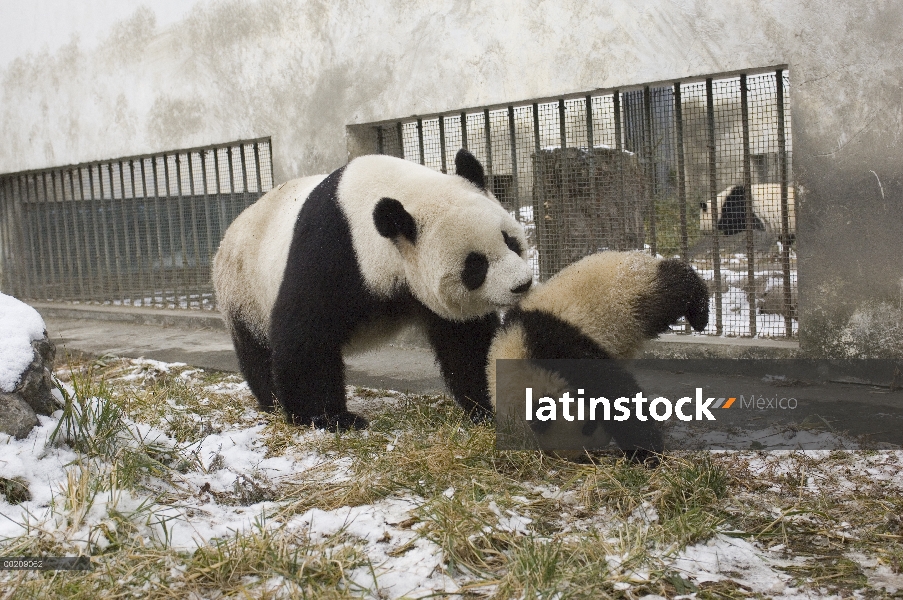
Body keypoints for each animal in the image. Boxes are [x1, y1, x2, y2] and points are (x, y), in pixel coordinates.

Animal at [215, 150, 532, 432]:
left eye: (510, 241)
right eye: (475, 265)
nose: (523, 284)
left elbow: (466, 342)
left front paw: (490, 407)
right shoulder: (331, 251)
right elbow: (307, 337)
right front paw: (328, 418)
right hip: (244, 291)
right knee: (258, 351)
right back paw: (273, 402)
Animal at [488, 251, 712, 462]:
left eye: (588, 426)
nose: (602, 441)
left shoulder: (558, 348)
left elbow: (614, 390)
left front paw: (646, 453)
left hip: (631, 292)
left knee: (672, 290)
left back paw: (699, 314)